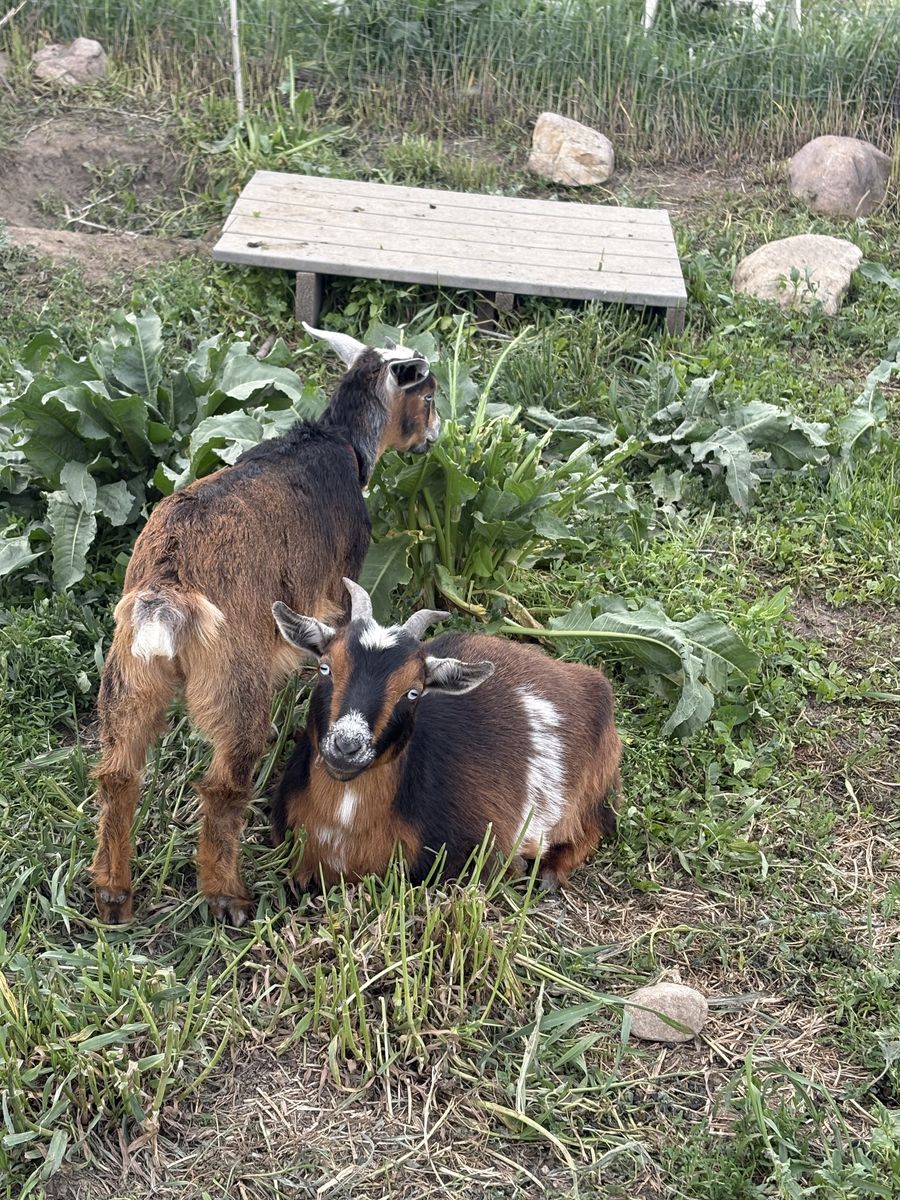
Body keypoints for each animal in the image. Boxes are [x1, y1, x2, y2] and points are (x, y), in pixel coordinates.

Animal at [92, 327, 439, 926]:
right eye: (430, 395)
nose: (433, 439)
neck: (340, 441)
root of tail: (168, 587)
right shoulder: (340, 584)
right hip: (232, 678)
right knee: (223, 784)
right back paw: (226, 895)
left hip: (130, 671)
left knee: (118, 772)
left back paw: (112, 892)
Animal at [271, 579, 622, 891]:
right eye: (325, 668)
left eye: (413, 692)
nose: (347, 746)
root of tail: (589, 679)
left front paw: (521, 867)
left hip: (595, 786)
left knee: (598, 826)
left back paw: (548, 875)